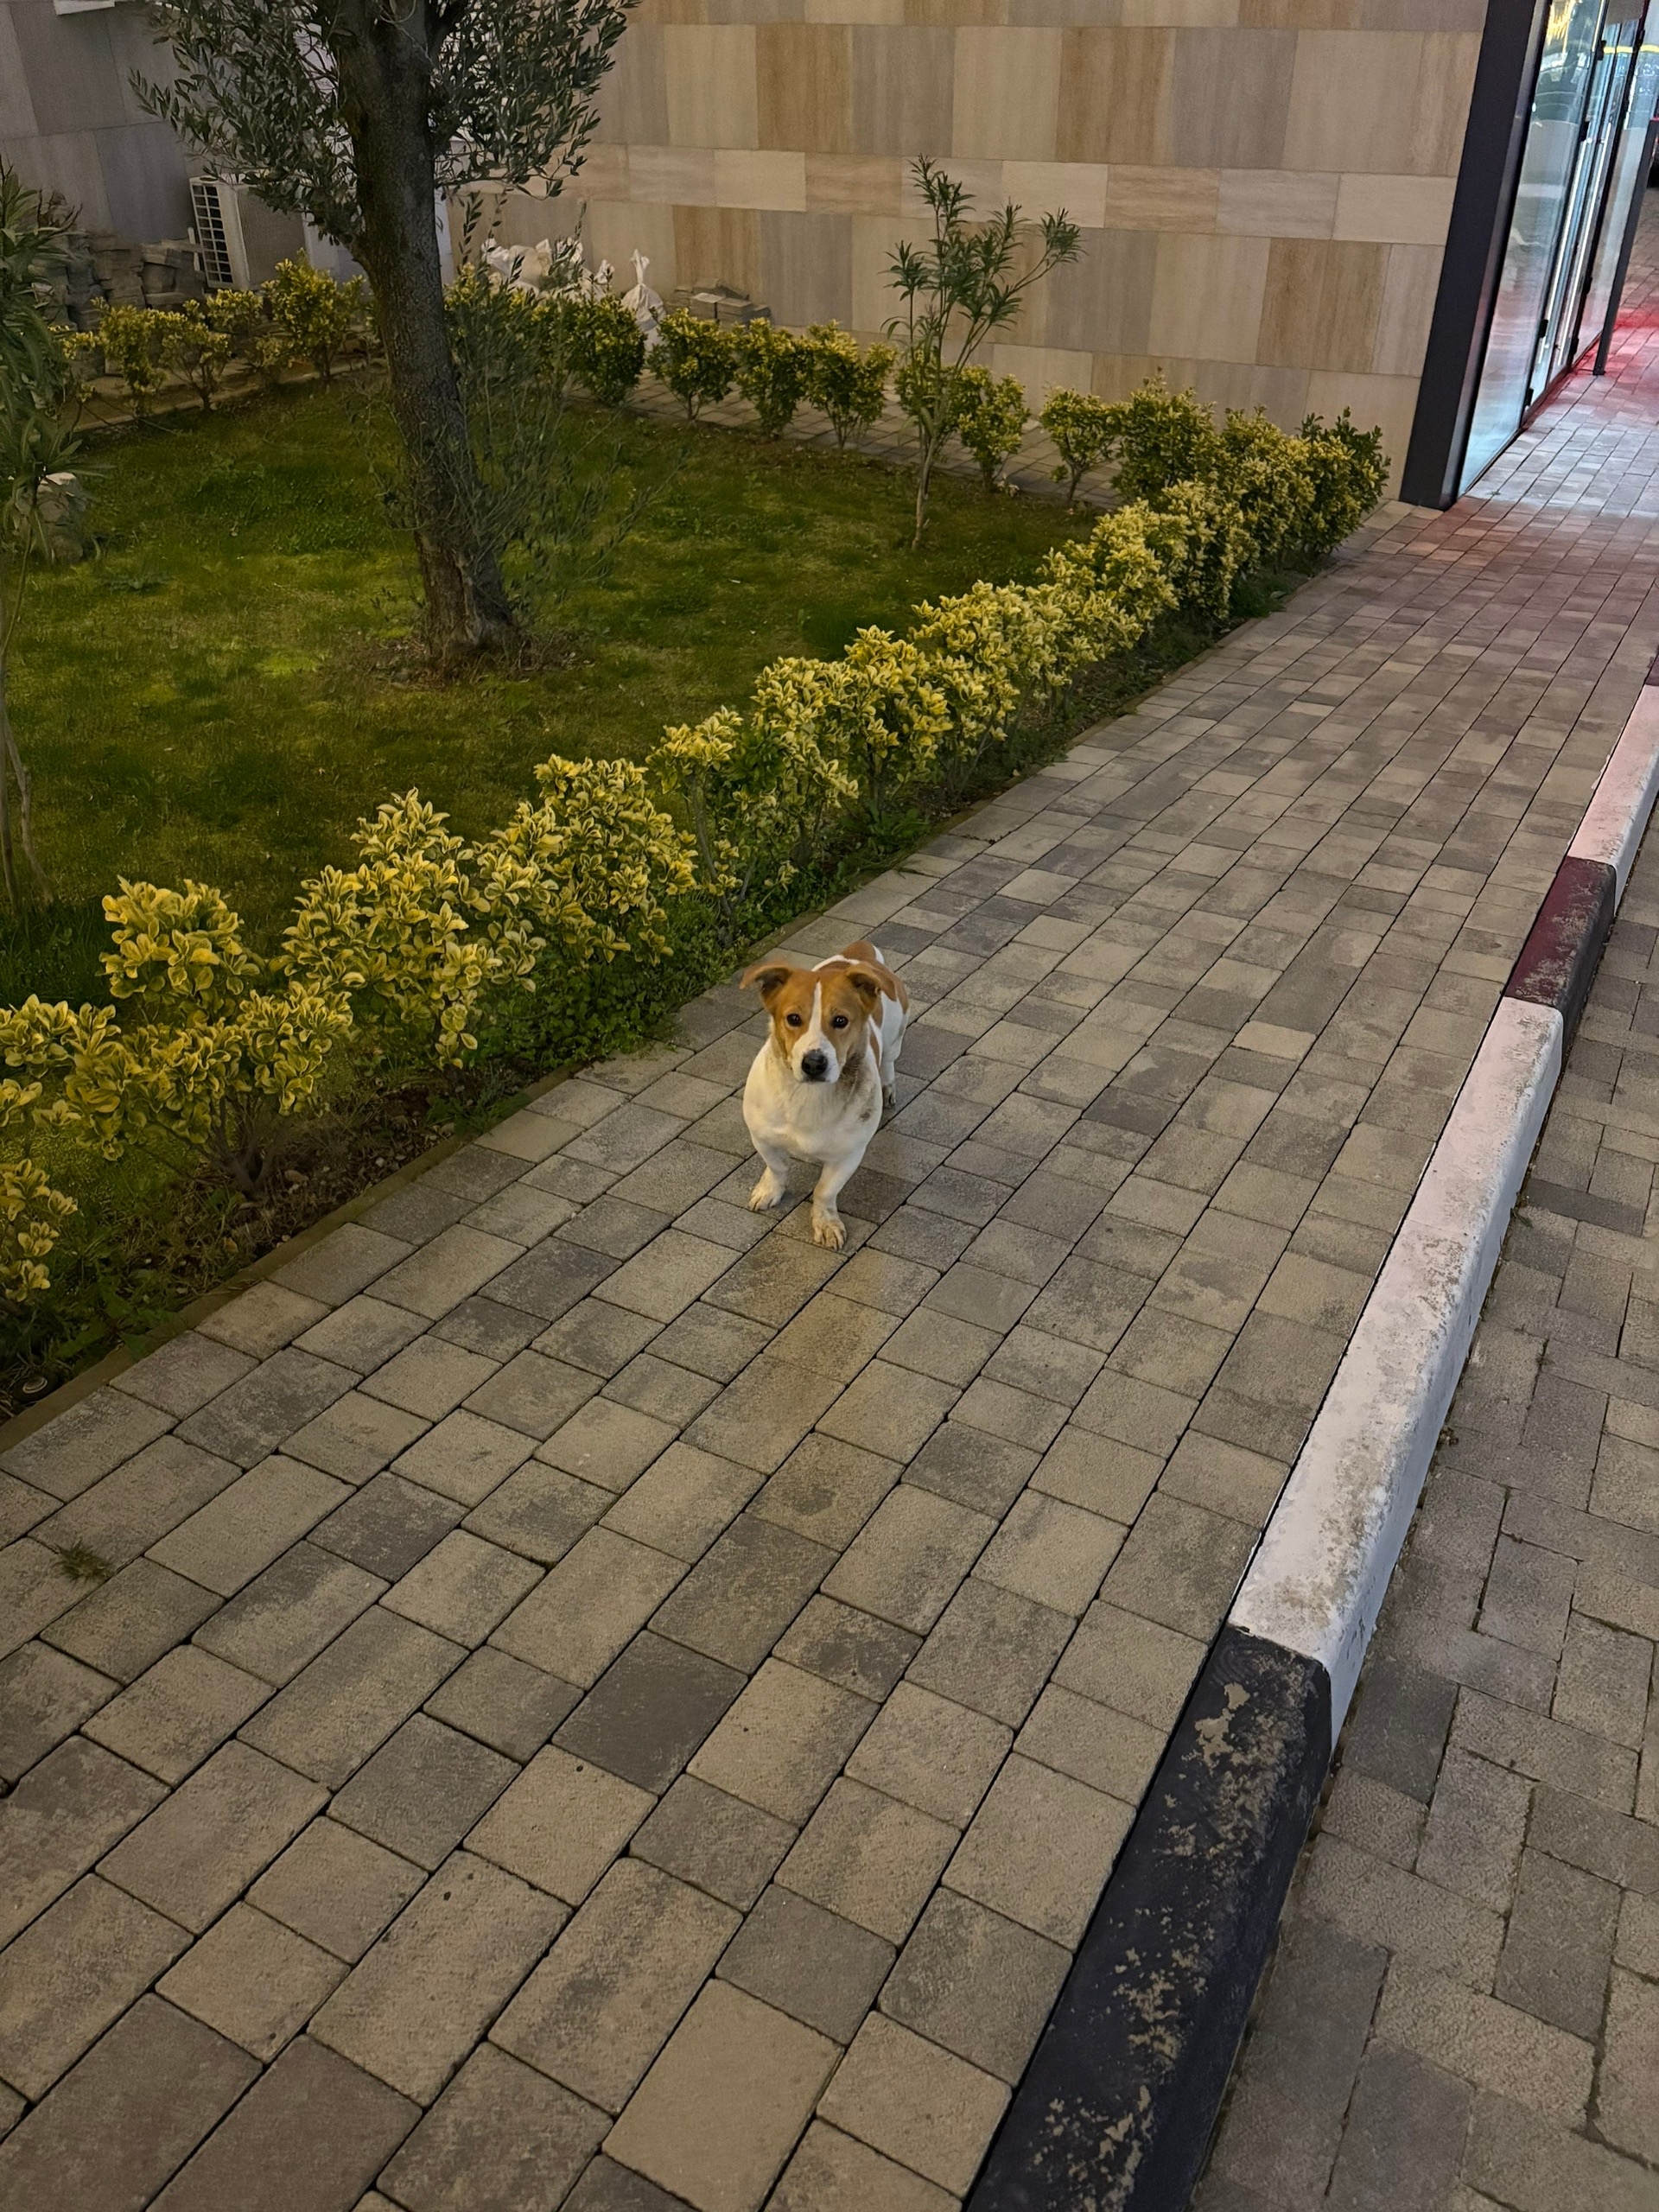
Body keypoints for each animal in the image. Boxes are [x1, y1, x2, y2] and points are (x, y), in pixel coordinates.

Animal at [740, 940, 910, 1250]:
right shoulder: (762, 1137)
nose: (814, 1063)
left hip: (897, 1034)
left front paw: (826, 1223)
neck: (809, 1096)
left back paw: (888, 1085)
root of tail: (860, 951)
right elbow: (778, 1168)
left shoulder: (848, 1155)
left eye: (840, 1020)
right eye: (793, 1018)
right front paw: (770, 1190)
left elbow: (825, 1191)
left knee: (890, 1060)